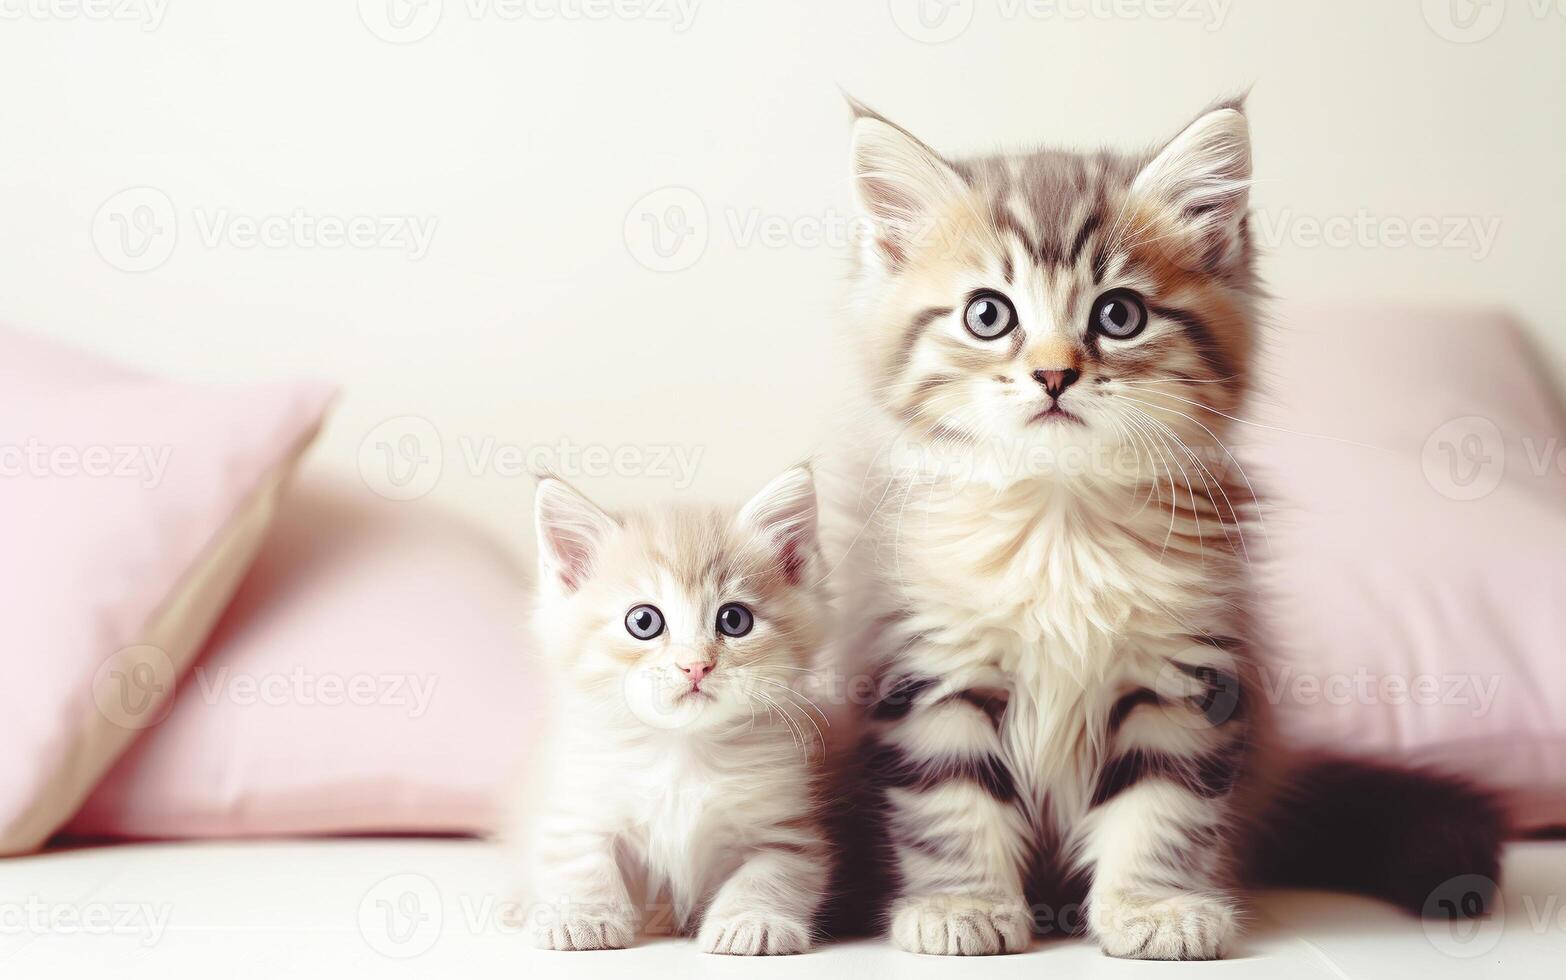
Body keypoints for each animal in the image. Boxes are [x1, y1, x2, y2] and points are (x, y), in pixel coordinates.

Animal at [516, 466, 839, 951]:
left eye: (734, 620)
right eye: (644, 621)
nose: (695, 665)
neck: (682, 751)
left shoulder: (784, 828)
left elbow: (770, 875)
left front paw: (752, 921)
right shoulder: (579, 807)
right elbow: (581, 862)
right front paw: (581, 917)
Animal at [820, 97, 1503, 951]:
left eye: (1119, 314)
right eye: (988, 315)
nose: (1054, 373)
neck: (1062, 523)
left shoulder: (1183, 678)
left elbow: (1161, 808)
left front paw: (1155, 908)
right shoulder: (933, 669)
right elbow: (950, 805)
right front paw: (962, 906)